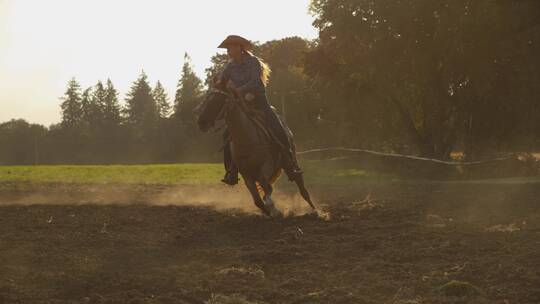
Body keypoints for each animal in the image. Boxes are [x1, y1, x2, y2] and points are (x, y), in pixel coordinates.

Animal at [195, 88, 316, 216]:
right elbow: (258, 200)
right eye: (207, 100)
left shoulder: (266, 165)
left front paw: (274, 208)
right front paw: (269, 210)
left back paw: (315, 210)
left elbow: (267, 187)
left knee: (300, 184)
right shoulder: (246, 174)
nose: (201, 122)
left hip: (289, 161)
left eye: (219, 101)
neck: (247, 139)